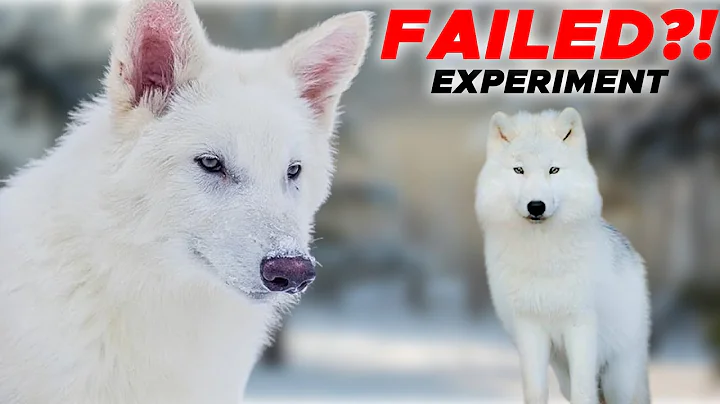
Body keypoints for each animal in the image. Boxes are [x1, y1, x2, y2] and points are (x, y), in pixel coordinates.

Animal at [475, 108, 651, 404]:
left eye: (553, 170)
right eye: (519, 170)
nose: (536, 206)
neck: (542, 256)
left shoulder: (580, 324)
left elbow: (583, 392)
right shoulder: (529, 327)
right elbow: (535, 391)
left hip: (618, 379)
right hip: (563, 372)